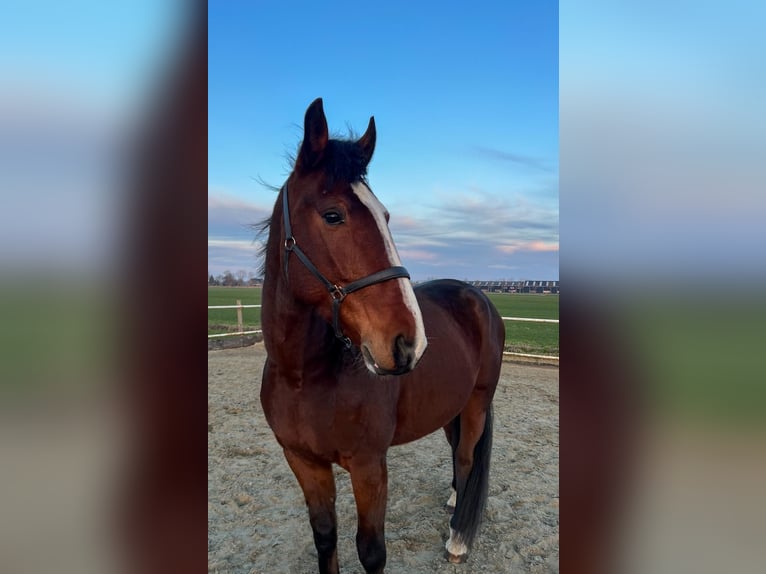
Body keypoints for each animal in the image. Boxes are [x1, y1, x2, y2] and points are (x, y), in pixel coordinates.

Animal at [260, 100, 508, 574]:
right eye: (333, 215)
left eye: (387, 216)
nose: (409, 342)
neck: (305, 375)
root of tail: (478, 297)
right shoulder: (304, 462)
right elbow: (325, 537)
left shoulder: (369, 465)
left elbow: (371, 551)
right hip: (450, 406)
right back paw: (454, 501)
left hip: (476, 402)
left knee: (467, 458)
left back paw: (458, 537)